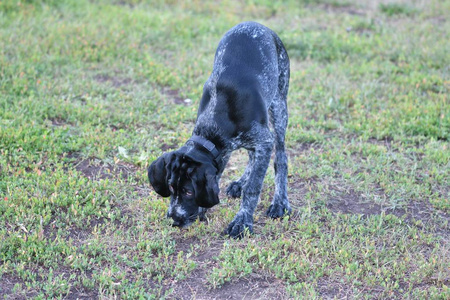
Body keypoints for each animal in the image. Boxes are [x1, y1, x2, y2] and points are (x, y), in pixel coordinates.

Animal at [148, 21, 292, 238]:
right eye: (171, 186)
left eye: (189, 191)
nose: (174, 219)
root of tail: (255, 24)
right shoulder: (225, 148)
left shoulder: (264, 141)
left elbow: (253, 187)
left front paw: (242, 221)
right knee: (252, 157)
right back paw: (240, 183)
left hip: (279, 106)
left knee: (281, 158)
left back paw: (280, 202)